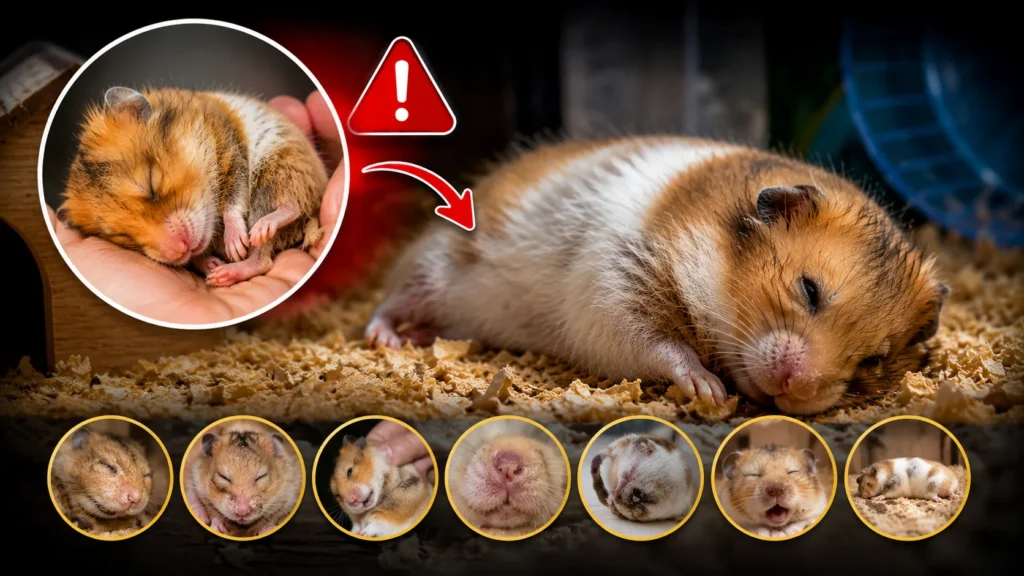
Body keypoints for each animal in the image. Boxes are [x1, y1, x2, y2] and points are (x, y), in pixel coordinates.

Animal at [59, 86, 328, 287]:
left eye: (151, 183)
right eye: (121, 236)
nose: (180, 250)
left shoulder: (230, 151)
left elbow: (233, 201)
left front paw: (235, 246)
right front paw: (209, 263)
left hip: (279, 169)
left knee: (286, 214)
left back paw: (254, 237)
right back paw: (219, 274)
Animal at [364, 136, 950, 415]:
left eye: (874, 361)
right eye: (808, 289)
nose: (796, 389)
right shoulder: (612, 292)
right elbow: (665, 349)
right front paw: (709, 389)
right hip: (433, 267)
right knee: (390, 301)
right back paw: (387, 339)